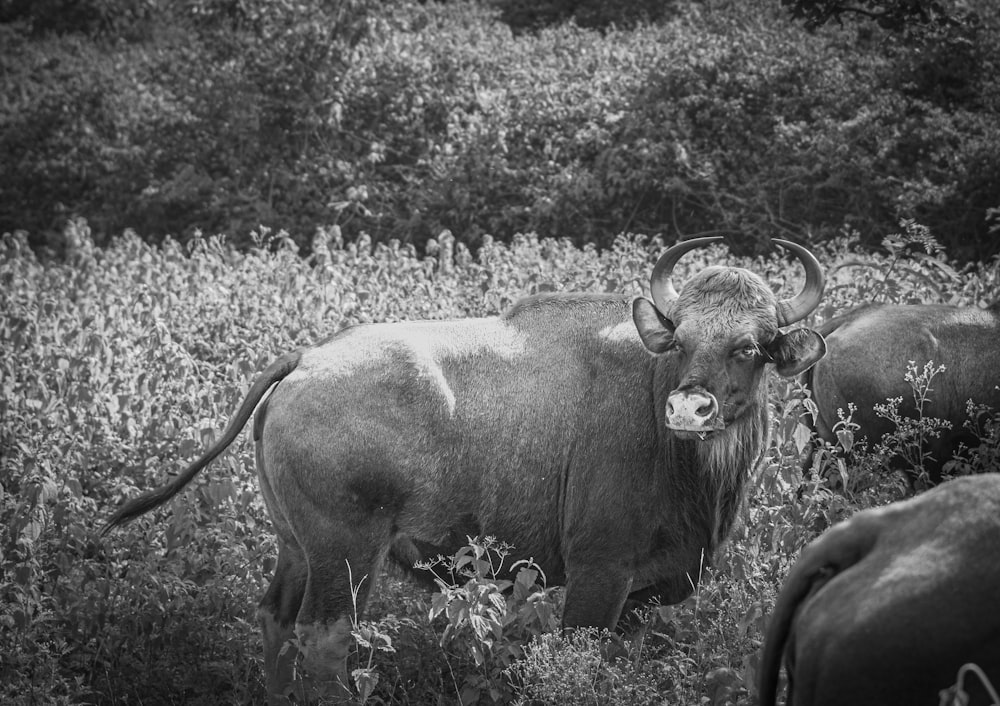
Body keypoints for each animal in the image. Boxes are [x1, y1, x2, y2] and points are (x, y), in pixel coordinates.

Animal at [101, 235, 824, 700]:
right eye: (681, 341)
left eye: (750, 347)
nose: (689, 407)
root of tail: (306, 358)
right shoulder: (598, 575)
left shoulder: (644, 598)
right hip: (346, 555)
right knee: (324, 641)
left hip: (295, 548)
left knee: (276, 622)